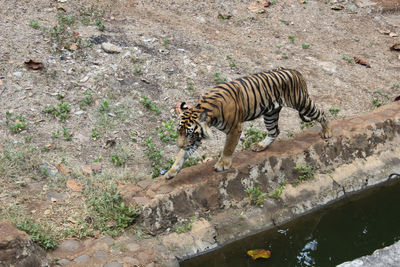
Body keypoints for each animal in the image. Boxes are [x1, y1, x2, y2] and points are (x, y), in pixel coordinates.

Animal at [165, 67, 332, 180]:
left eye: (189, 133)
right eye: (179, 131)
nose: (178, 144)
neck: (205, 108)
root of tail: (295, 71)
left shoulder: (235, 128)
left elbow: (228, 148)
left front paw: (223, 164)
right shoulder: (195, 139)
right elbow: (182, 155)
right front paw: (171, 172)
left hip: (301, 103)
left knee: (322, 113)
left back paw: (327, 132)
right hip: (270, 113)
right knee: (274, 131)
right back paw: (260, 146)